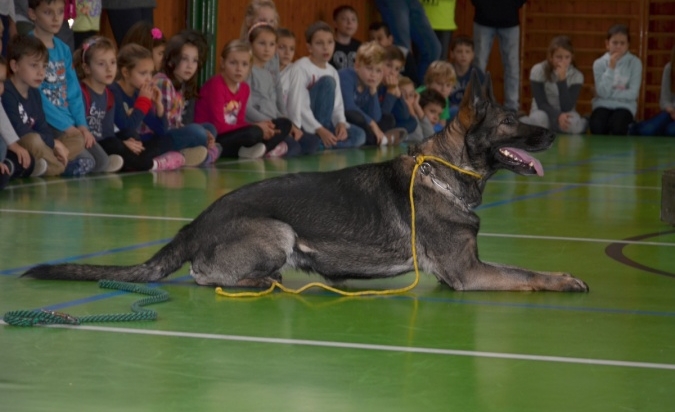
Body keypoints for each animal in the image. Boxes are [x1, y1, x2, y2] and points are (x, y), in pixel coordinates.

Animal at [21, 74, 588, 292]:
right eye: (512, 121)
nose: (550, 136)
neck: (443, 173)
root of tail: (194, 223)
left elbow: (521, 267)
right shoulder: (467, 273)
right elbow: (526, 274)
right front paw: (562, 280)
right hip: (278, 231)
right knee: (205, 276)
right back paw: (262, 281)